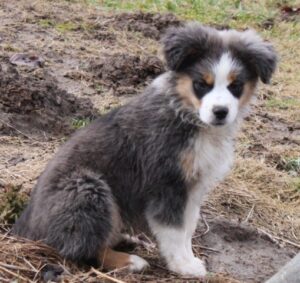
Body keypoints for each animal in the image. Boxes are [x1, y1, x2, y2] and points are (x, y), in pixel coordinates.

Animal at [12, 22, 278, 278]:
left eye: (236, 86)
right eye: (201, 84)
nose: (220, 112)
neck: (188, 117)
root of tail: (24, 229)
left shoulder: (193, 185)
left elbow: (188, 226)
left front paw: (189, 259)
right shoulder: (166, 183)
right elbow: (174, 230)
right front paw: (183, 266)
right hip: (87, 189)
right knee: (81, 248)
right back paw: (129, 261)